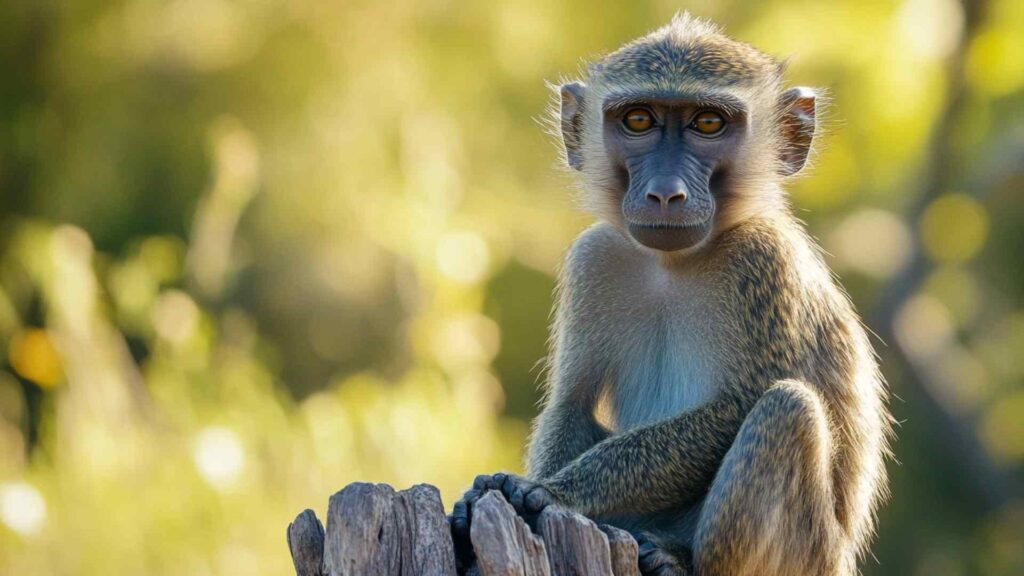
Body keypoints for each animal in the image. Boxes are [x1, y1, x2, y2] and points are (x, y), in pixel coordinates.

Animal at [450, 13, 891, 576]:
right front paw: (506, 488)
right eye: (639, 120)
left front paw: (551, 493)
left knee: (787, 409)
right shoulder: (595, 258)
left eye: (708, 124)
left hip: (806, 554)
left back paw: (682, 559)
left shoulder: (763, 261)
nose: (665, 193)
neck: (670, 266)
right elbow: (572, 402)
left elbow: (736, 405)